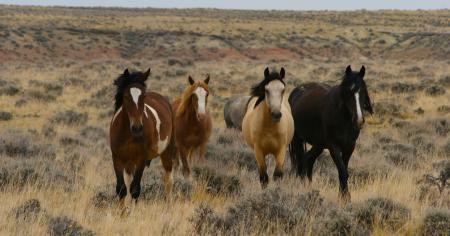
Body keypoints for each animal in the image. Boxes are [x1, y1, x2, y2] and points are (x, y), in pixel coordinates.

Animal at [109, 68, 176, 206]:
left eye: (143, 96)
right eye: (126, 96)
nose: (137, 127)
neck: (127, 134)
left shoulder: (141, 159)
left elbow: (135, 189)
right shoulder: (117, 158)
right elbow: (121, 188)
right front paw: (122, 210)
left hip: (167, 152)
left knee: (168, 180)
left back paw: (169, 205)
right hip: (129, 162)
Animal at [288, 65, 372, 202]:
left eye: (363, 91)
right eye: (348, 92)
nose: (359, 120)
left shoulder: (350, 146)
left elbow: (344, 171)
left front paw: (343, 197)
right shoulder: (333, 146)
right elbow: (342, 171)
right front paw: (345, 198)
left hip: (319, 144)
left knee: (308, 159)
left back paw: (308, 186)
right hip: (297, 140)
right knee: (300, 162)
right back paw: (301, 186)